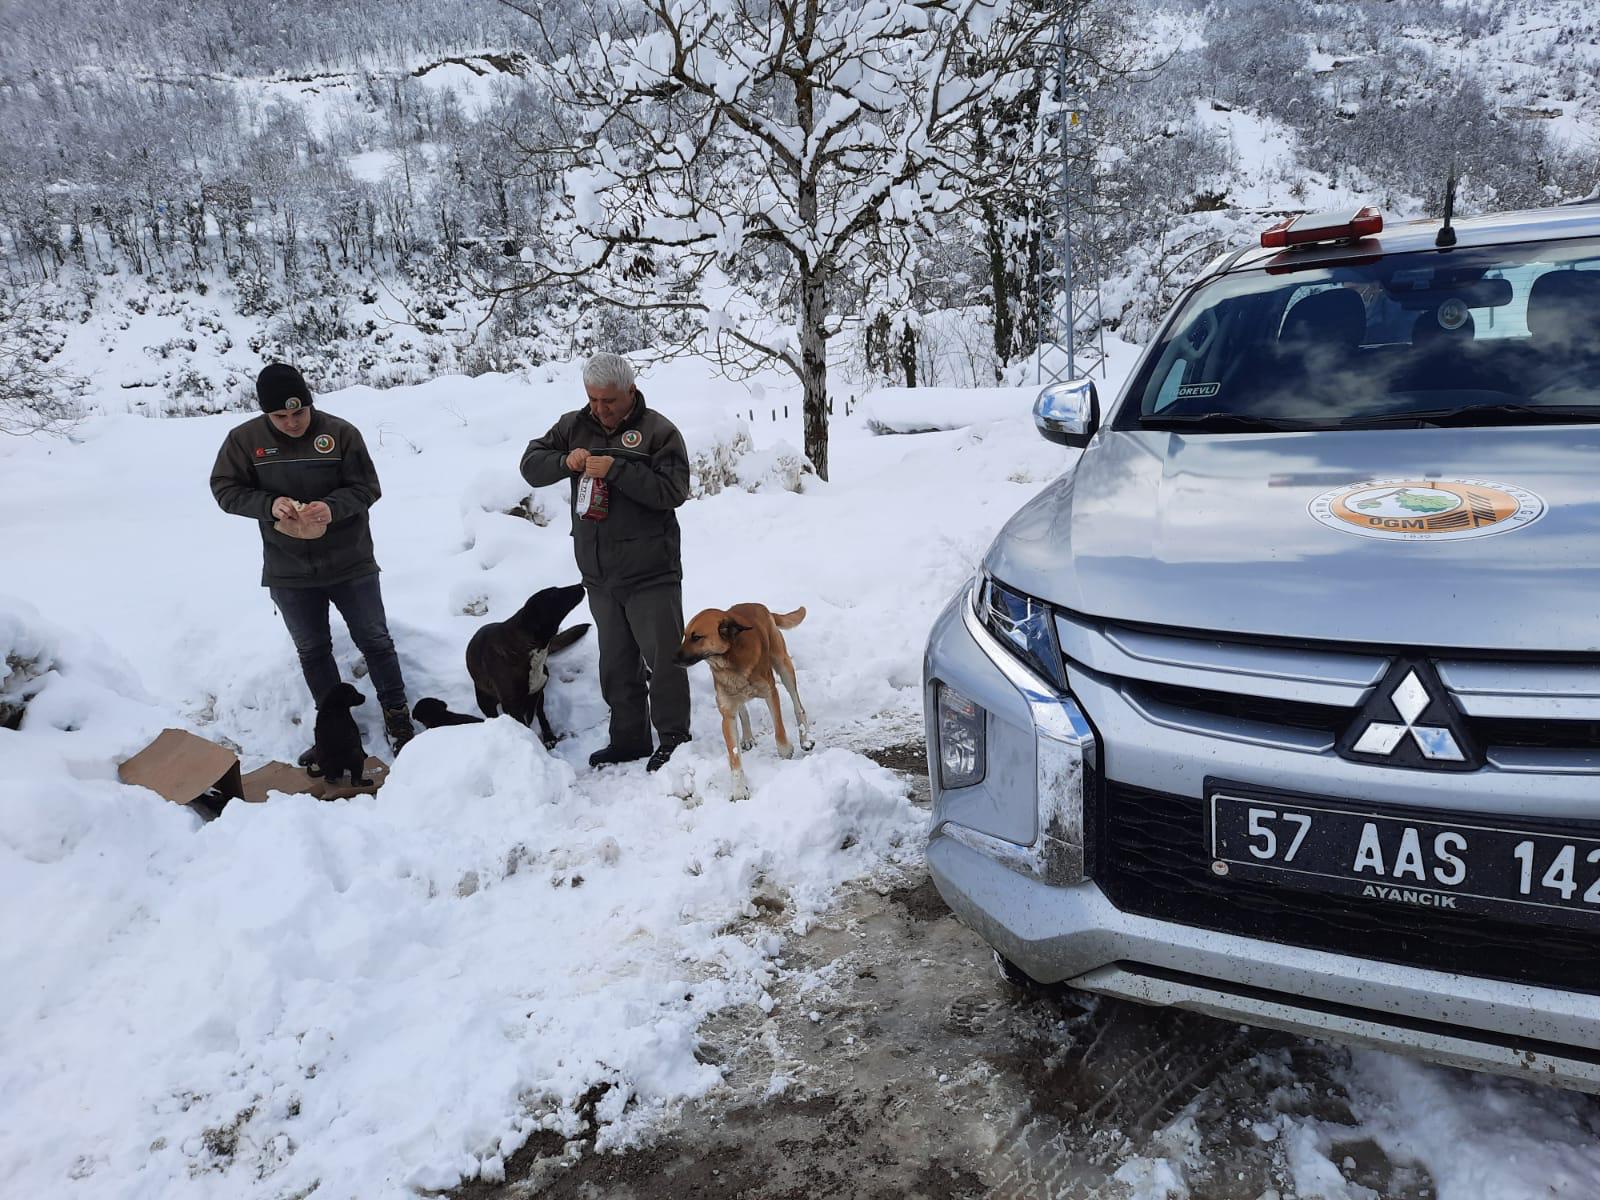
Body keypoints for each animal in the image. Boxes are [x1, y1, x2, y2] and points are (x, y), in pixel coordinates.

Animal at [467, 585, 595, 748]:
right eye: (554, 594)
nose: (580, 585)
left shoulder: (537, 690)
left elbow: (538, 715)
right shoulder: (513, 706)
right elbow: (525, 725)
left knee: (540, 712)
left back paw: (548, 736)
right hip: (485, 701)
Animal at [675, 604, 812, 803]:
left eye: (696, 637)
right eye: (684, 635)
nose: (672, 659)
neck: (729, 661)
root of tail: (761, 607)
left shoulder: (771, 693)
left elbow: (779, 728)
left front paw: (785, 750)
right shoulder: (727, 714)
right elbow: (733, 755)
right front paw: (739, 790)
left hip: (783, 665)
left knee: (798, 706)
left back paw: (805, 739)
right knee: (744, 710)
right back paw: (747, 737)